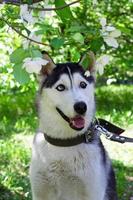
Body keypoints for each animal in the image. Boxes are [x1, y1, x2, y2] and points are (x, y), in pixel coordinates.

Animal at [29, 52, 118, 200]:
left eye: (83, 84)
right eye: (60, 87)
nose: (81, 107)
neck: (64, 143)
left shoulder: (93, 193)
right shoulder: (40, 192)